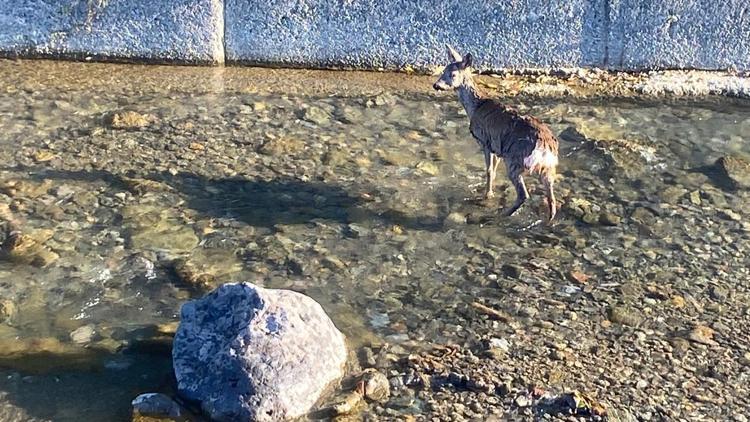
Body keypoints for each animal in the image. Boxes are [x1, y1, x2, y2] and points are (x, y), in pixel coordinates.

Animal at [434, 45, 560, 223]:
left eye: (453, 74)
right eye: (443, 70)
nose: (436, 85)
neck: (475, 106)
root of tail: (546, 147)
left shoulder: (485, 141)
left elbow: (489, 171)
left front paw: (487, 195)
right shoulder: (498, 149)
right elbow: (493, 171)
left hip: (515, 159)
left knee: (524, 195)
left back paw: (500, 216)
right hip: (547, 169)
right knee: (551, 197)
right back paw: (548, 221)